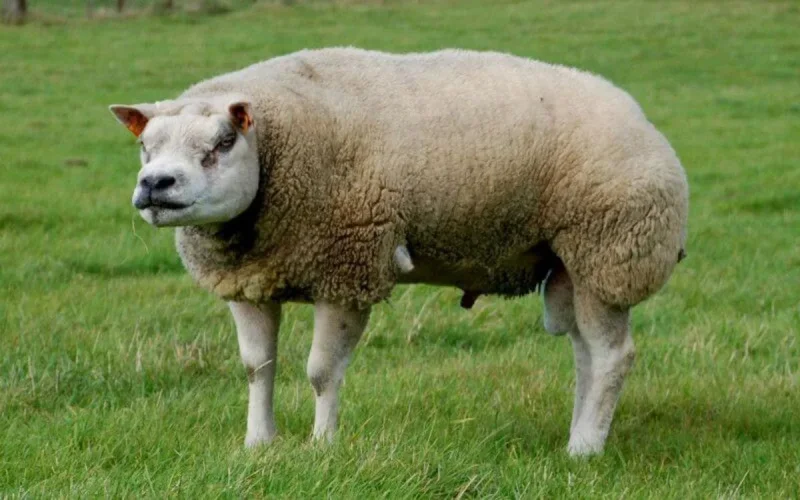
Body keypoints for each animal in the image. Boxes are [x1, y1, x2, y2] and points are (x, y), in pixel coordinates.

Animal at [109, 47, 689, 456]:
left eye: (223, 142)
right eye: (145, 146)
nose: (156, 184)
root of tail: (643, 121)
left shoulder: (347, 267)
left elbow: (321, 372)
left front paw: (322, 446)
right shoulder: (251, 282)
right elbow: (258, 368)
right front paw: (258, 444)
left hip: (609, 253)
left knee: (612, 356)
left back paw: (584, 449)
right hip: (570, 265)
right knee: (586, 354)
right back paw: (580, 436)